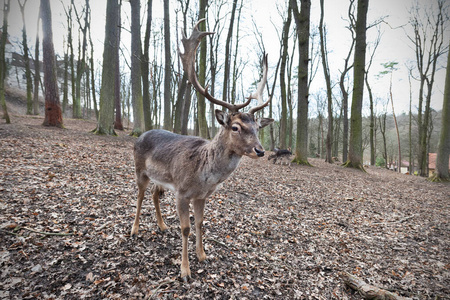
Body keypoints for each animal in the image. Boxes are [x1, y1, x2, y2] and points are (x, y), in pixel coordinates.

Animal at [128, 19, 272, 282]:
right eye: (235, 127)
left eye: (257, 127)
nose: (260, 150)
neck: (204, 175)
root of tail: (141, 134)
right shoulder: (182, 192)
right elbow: (185, 228)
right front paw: (185, 270)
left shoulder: (202, 196)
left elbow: (200, 224)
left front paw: (203, 255)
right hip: (139, 169)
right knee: (140, 195)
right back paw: (134, 230)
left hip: (160, 179)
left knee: (154, 194)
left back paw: (162, 226)